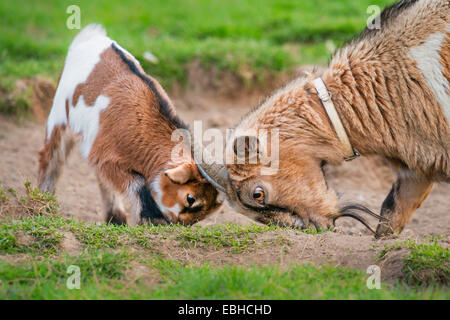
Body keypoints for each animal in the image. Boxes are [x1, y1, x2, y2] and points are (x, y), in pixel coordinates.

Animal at [37, 24, 221, 225]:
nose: (179, 224)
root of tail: (93, 36)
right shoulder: (107, 158)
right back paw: (42, 202)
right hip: (59, 114)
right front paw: (153, 218)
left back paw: (115, 218)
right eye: (190, 198)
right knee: (52, 157)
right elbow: (138, 183)